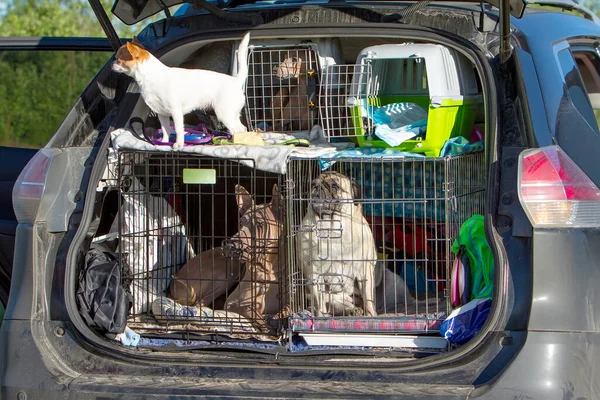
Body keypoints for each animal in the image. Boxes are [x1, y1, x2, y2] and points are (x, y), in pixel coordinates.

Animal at [112, 33, 251, 150]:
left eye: (118, 59)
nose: (112, 63)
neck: (151, 76)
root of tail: (236, 80)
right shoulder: (162, 114)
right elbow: (165, 130)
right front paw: (164, 142)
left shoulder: (176, 112)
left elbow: (179, 130)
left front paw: (179, 144)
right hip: (232, 114)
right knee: (242, 129)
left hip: (223, 114)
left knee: (237, 129)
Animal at [298, 170, 378, 318]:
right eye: (313, 184)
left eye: (334, 186)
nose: (318, 187)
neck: (331, 229)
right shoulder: (314, 273)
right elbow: (319, 302)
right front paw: (321, 318)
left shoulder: (365, 270)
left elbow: (368, 299)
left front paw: (371, 316)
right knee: (332, 306)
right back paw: (349, 311)